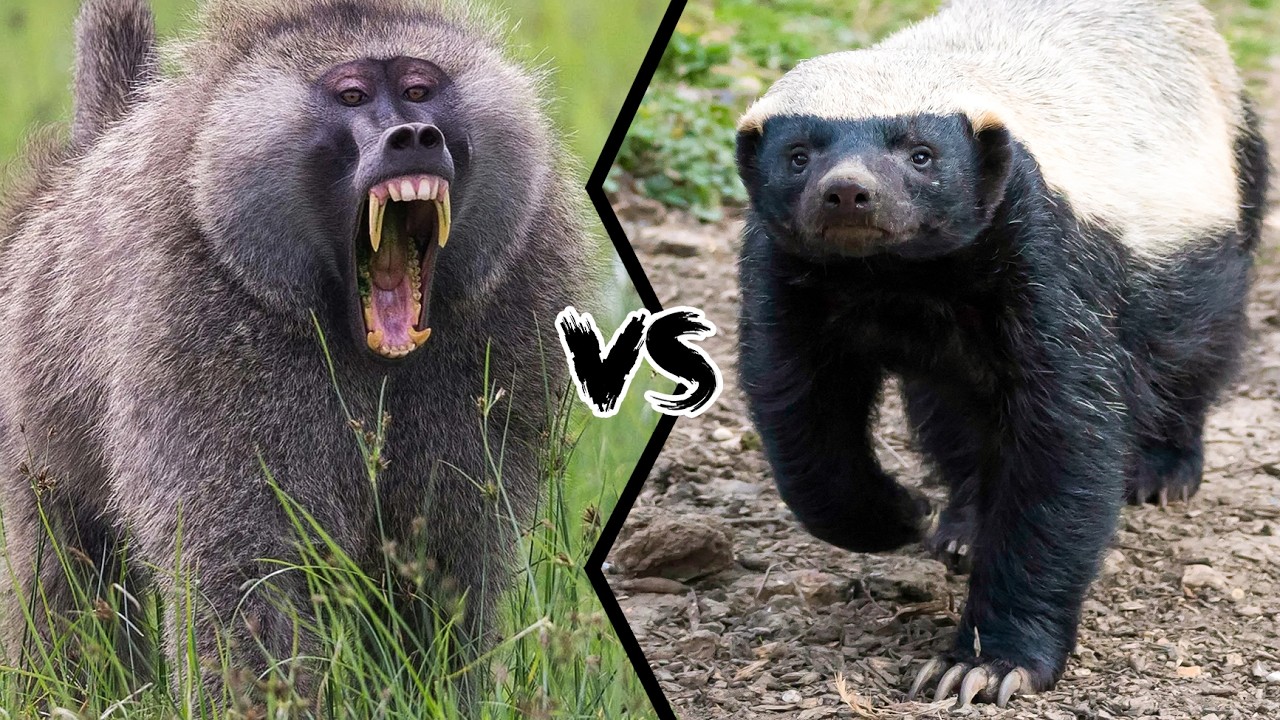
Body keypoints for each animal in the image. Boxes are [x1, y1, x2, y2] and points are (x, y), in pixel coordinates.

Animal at [0, 0, 594, 708]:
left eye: (419, 90)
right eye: (352, 95)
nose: (415, 137)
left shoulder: (499, 335)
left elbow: (440, 563)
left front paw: (427, 696)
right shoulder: (199, 347)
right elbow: (248, 577)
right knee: (65, 577)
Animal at [734, 0, 1268, 707]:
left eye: (922, 154)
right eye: (798, 156)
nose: (847, 192)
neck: (895, 273)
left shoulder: (1046, 250)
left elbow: (1066, 437)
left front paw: (989, 662)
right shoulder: (787, 269)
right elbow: (803, 418)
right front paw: (901, 513)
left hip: (1220, 208)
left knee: (1195, 349)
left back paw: (1163, 470)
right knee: (953, 411)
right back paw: (963, 523)